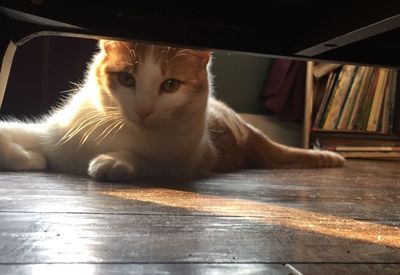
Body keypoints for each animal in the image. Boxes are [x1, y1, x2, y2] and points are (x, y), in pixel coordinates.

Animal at [0, 39, 346, 181]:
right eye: (126, 79)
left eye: (170, 85)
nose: (143, 110)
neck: (121, 127)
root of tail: (249, 131)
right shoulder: (54, 134)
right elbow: (23, 134)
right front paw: (27, 156)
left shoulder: (185, 161)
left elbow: (147, 159)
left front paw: (115, 161)